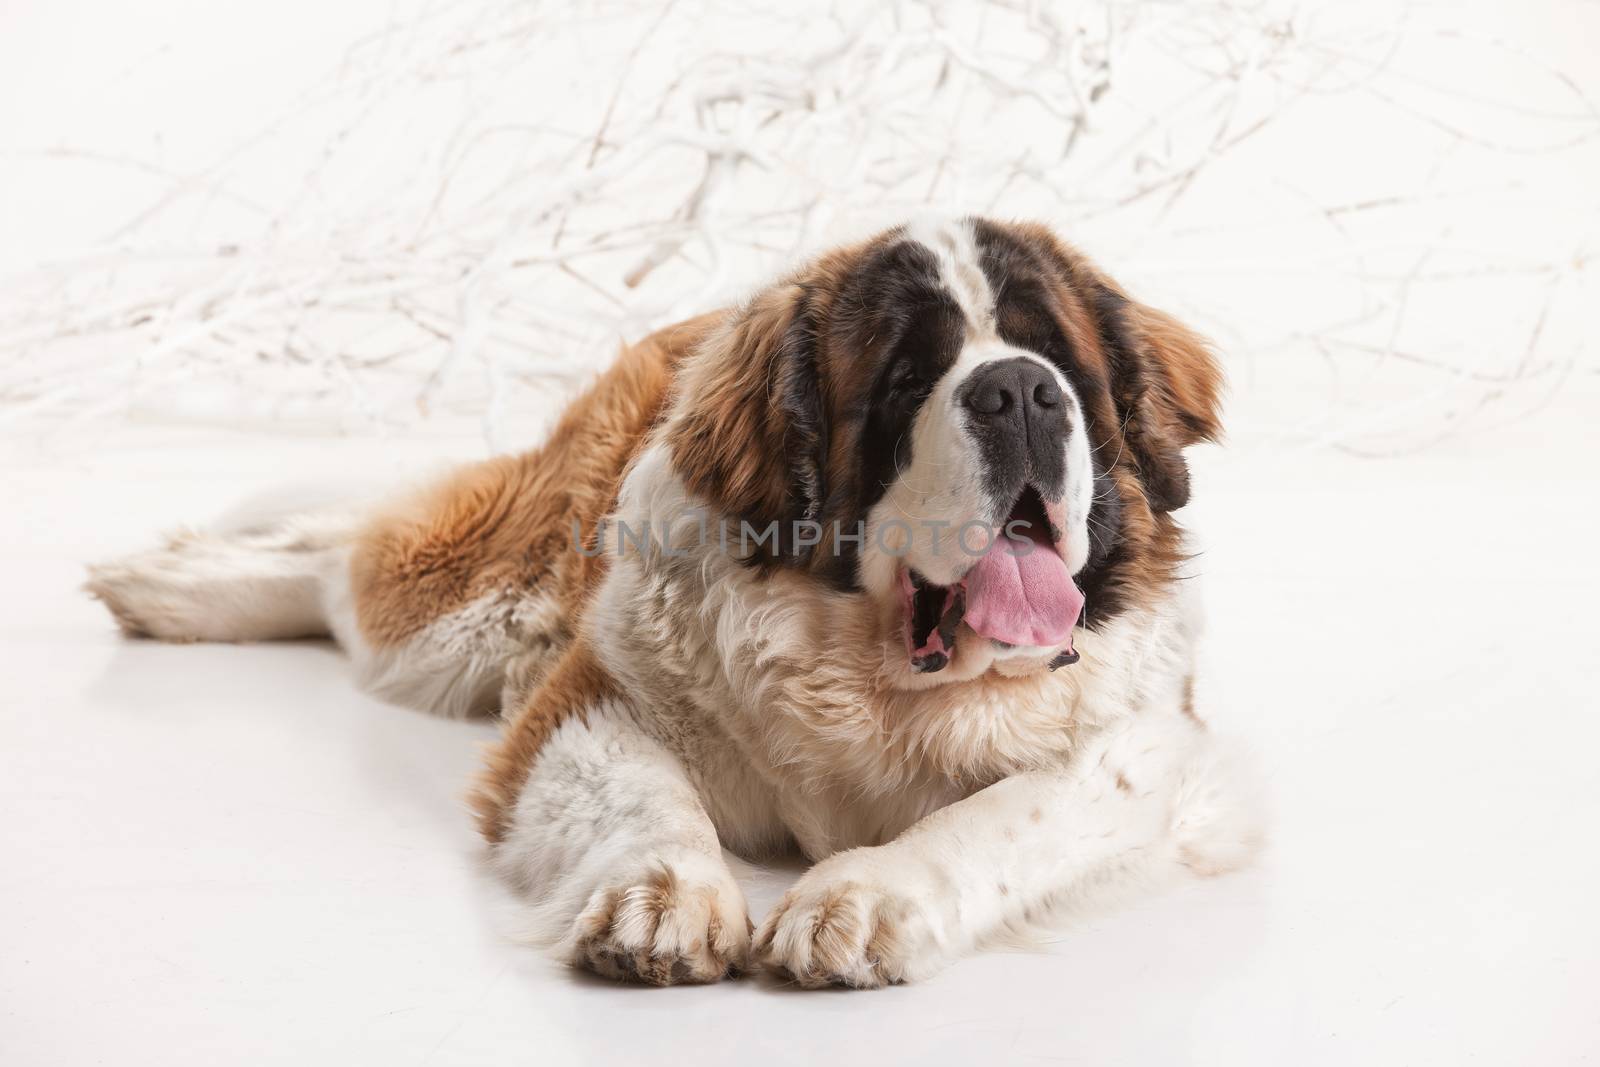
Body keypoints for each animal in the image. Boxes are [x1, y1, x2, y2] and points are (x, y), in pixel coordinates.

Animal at [87, 219, 1267, 991]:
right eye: (904, 377)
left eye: (1058, 357)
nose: (1019, 389)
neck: (879, 682)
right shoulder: (592, 697)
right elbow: (645, 794)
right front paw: (663, 897)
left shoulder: (1157, 746)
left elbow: (1011, 809)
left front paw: (864, 896)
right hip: (465, 615)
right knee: (349, 563)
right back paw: (174, 586)